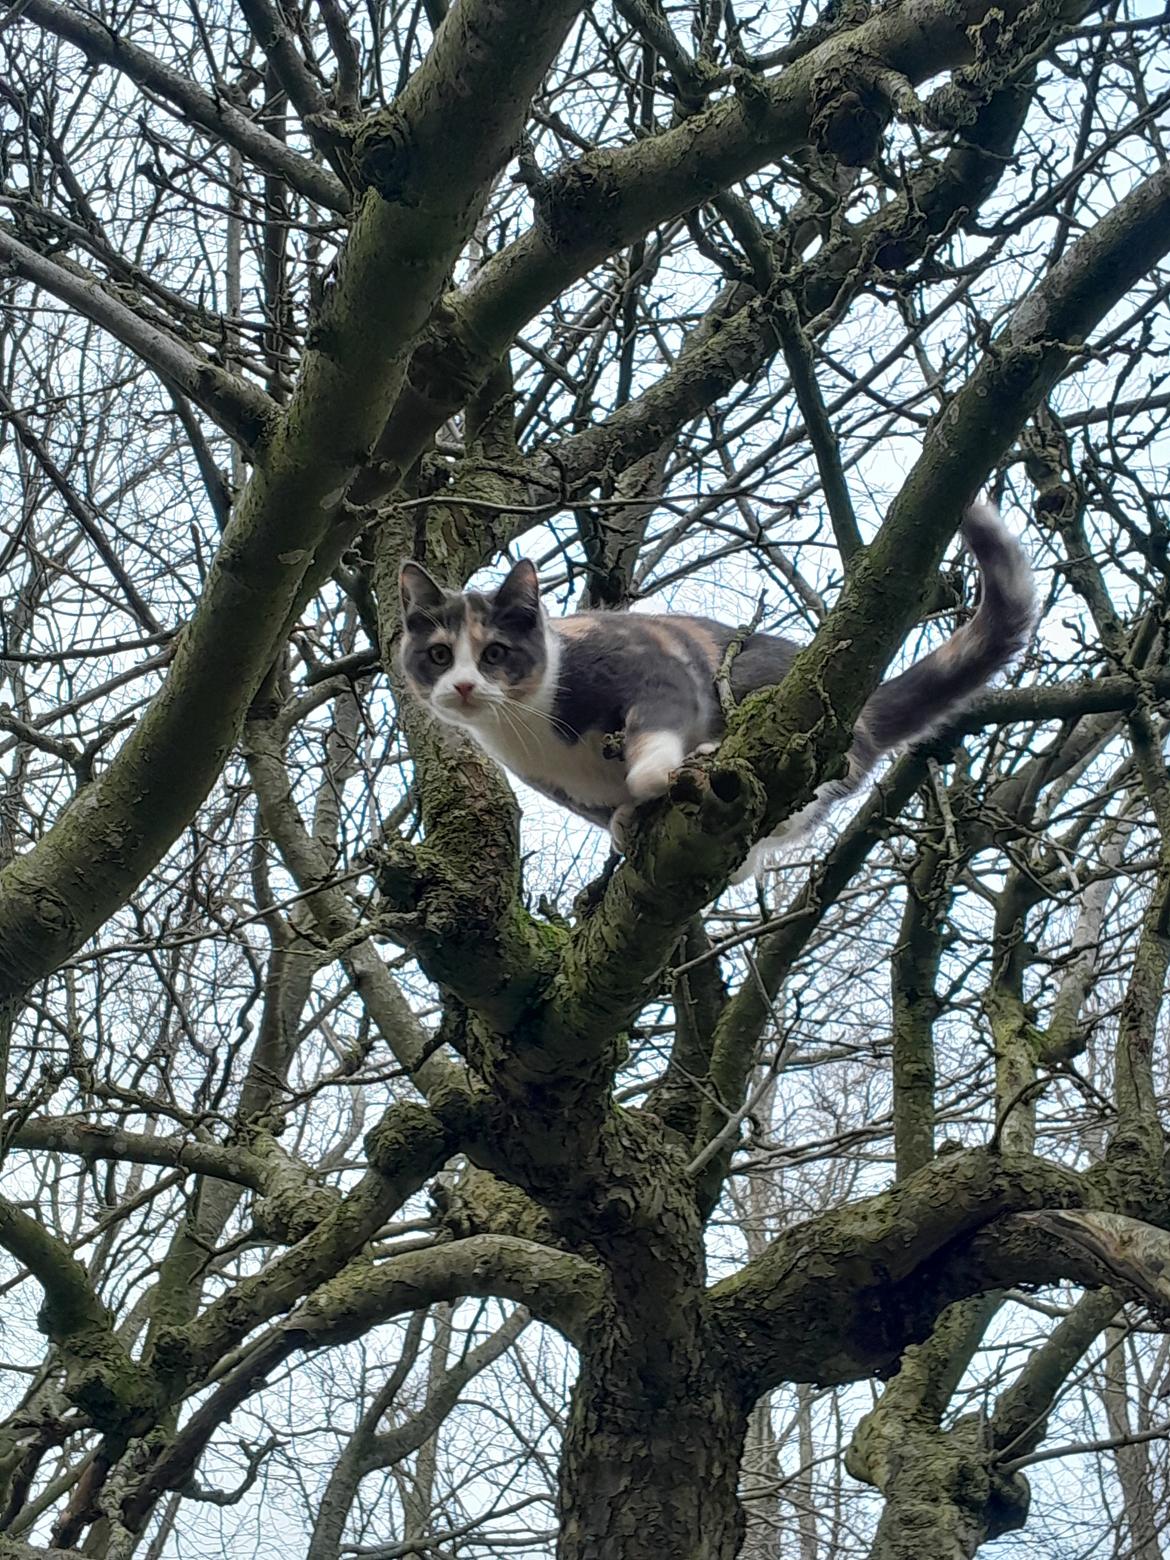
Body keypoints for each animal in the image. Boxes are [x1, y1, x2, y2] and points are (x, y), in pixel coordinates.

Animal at [402, 505, 1035, 886]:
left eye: (495, 653)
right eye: (438, 655)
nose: (462, 684)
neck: (530, 725)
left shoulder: (650, 666)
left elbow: (656, 725)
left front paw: (655, 780)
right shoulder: (560, 785)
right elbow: (605, 804)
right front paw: (625, 820)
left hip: (771, 689)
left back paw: (711, 759)